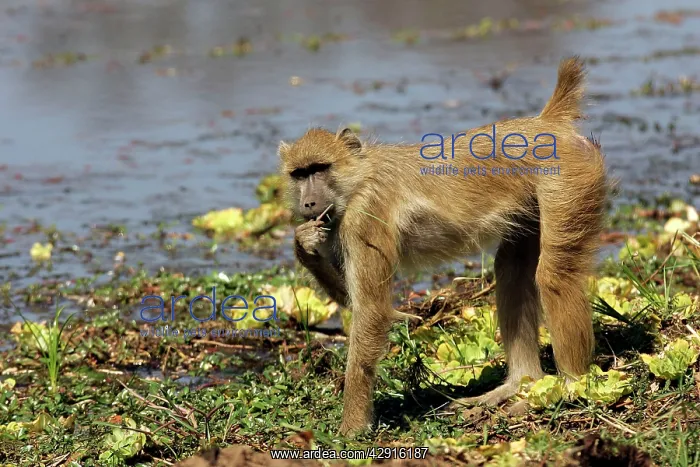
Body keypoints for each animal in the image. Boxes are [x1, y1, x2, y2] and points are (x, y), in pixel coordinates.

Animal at [278, 57, 608, 436]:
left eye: (320, 168)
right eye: (299, 174)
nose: (309, 203)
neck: (360, 177)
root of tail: (546, 123)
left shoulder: (365, 214)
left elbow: (372, 311)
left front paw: (353, 428)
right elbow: (365, 304)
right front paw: (303, 244)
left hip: (566, 179)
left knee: (554, 276)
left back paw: (570, 389)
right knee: (511, 270)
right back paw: (518, 384)